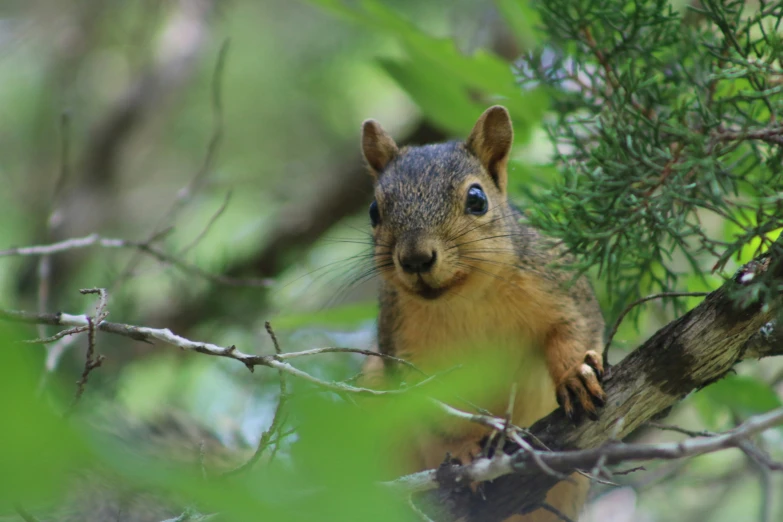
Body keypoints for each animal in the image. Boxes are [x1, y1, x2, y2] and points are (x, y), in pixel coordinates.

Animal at [358, 103, 608, 516]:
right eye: (374, 211)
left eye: (477, 199)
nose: (415, 259)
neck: (464, 299)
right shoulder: (402, 345)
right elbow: (436, 412)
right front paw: (464, 450)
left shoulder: (560, 281)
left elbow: (575, 327)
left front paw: (577, 373)